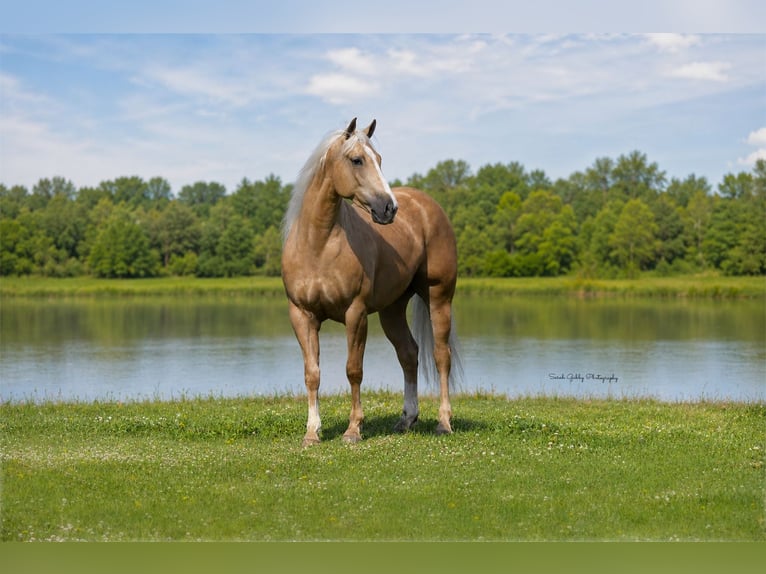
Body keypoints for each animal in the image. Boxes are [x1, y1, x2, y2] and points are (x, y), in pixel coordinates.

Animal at [281, 118, 461, 446]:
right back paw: (407, 419)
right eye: (357, 159)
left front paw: (353, 429)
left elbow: (354, 370)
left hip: (439, 297)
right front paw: (312, 432)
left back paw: (444, 422)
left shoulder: (356, 313)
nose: (389, 208)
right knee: (409, 354)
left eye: (379, 159)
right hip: (392, 310)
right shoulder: (301, 315)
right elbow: (312, 373)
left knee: (441, 356)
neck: (318, 246)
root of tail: (425, 203)